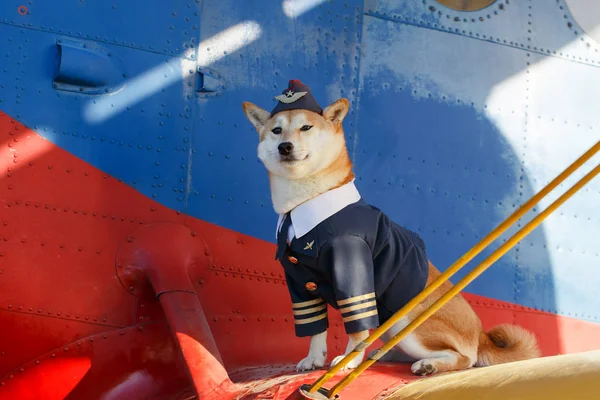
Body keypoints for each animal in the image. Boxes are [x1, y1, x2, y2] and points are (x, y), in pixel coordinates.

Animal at [241, 79, 540, 376]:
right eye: (277, 130)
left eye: (306, 127)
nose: (285, 146)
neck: (306, 206)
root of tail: (481, 335)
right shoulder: (301, 283)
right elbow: (315, 328)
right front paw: (313, 359)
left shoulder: (355, 279)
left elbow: (357, 330)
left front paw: (348, 362)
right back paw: (384, 354)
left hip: (404, 321)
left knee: (464, 358)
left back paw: (427, 365)